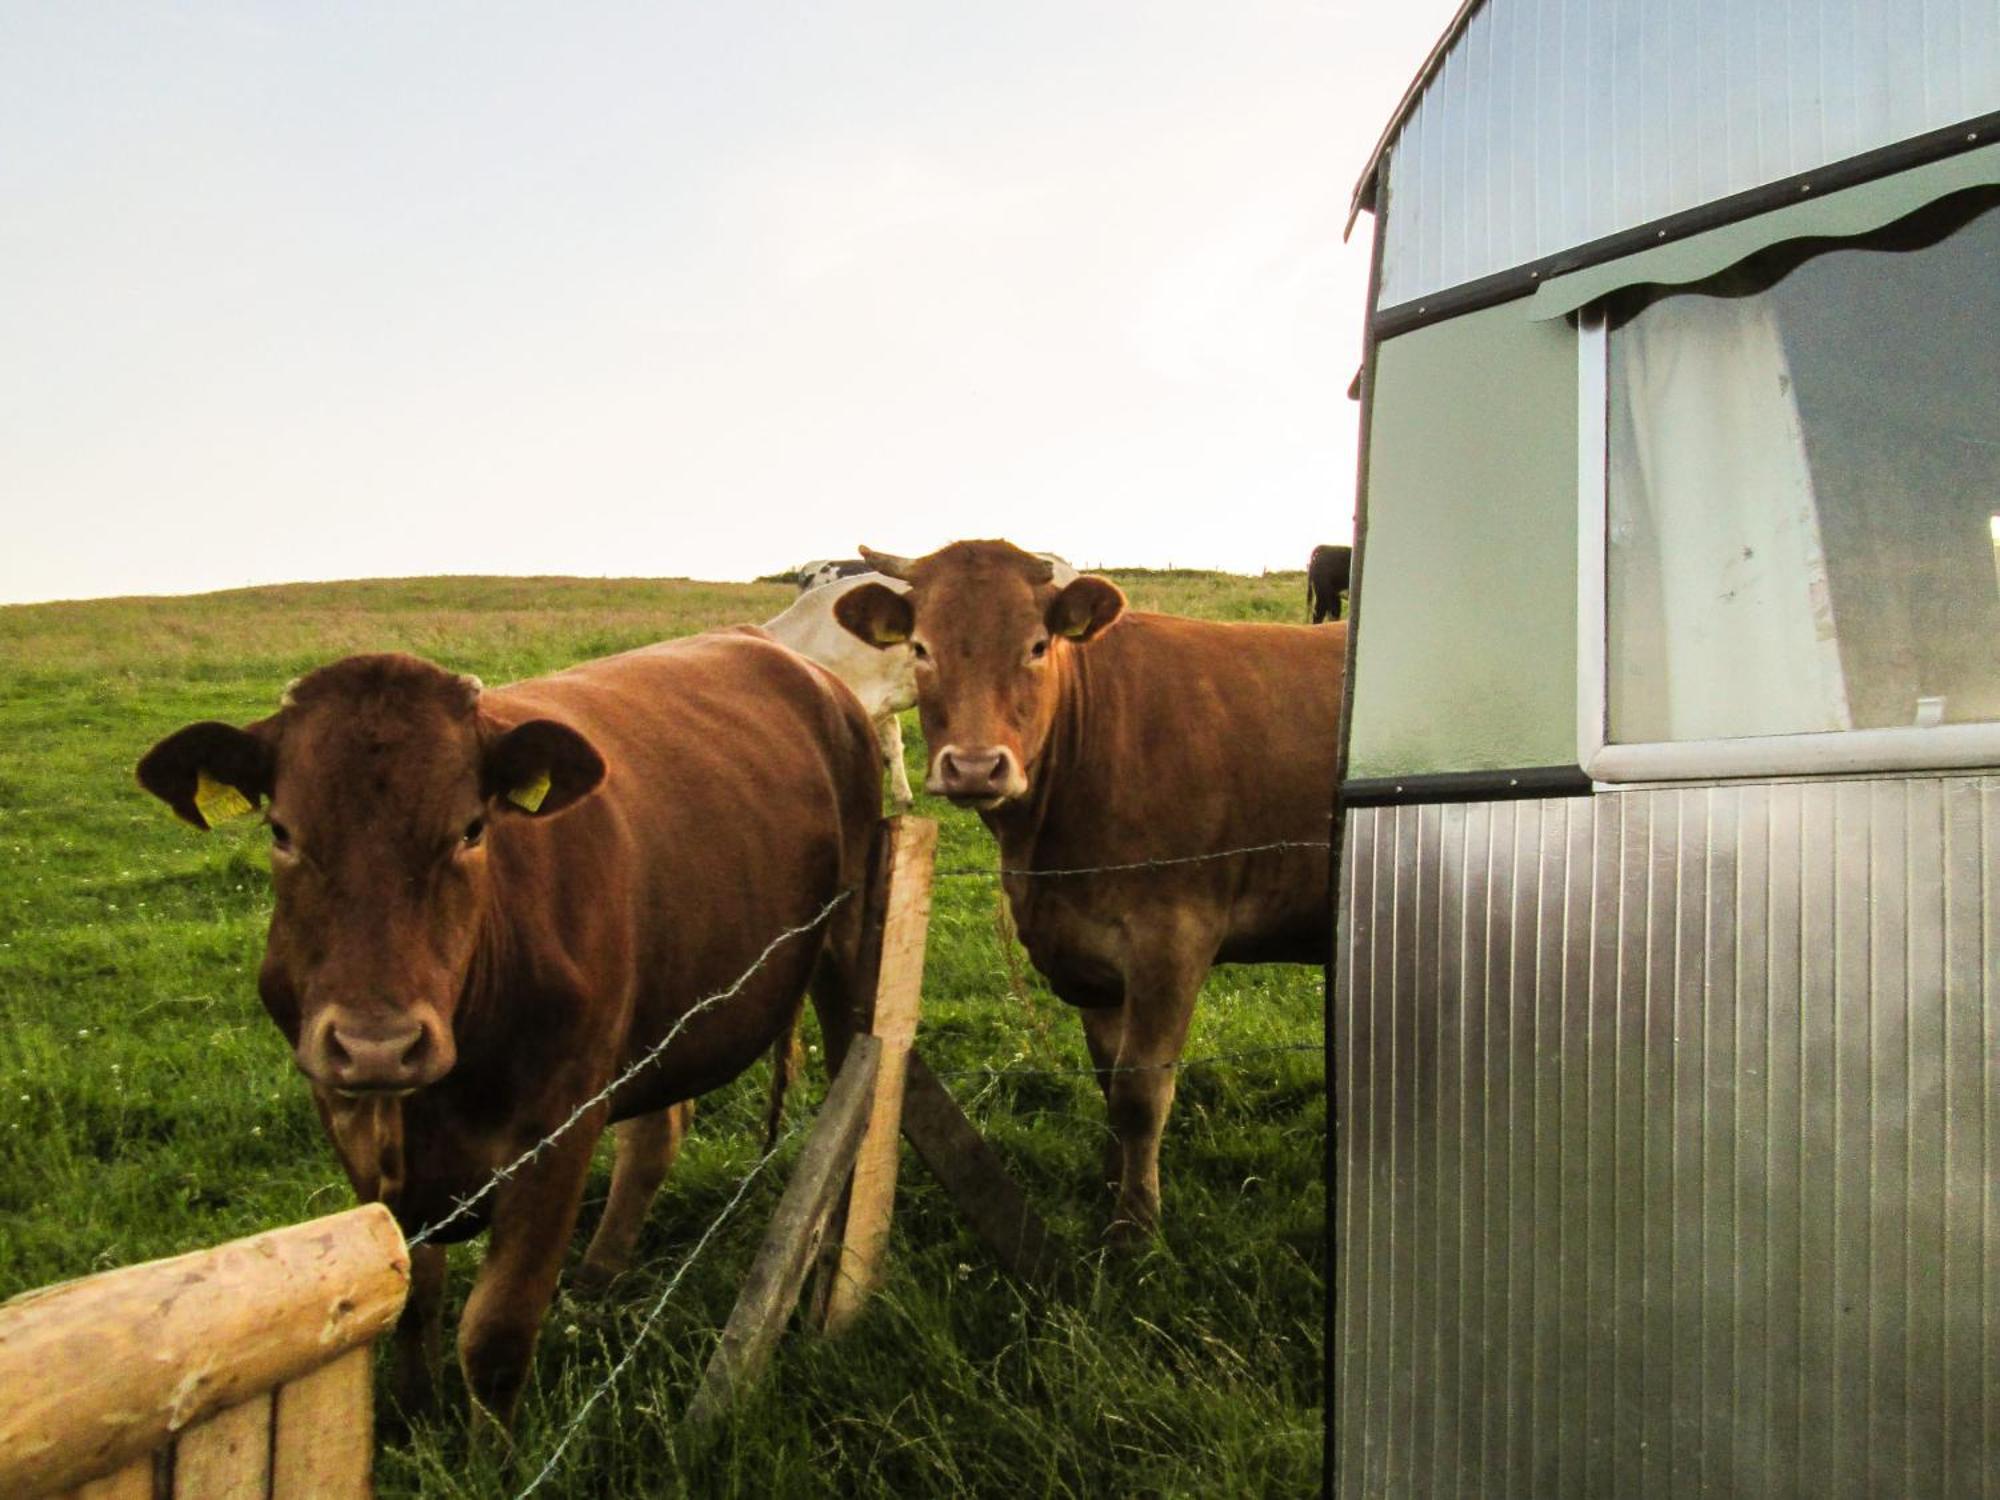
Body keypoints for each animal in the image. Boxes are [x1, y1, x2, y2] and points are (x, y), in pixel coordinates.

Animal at [137, 640, 880, 1424]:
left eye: (472, 828)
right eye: (282, 831)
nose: (378, 1045)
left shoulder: (559, 1128)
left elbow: (496, 1334)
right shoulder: (349, 1121)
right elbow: (410, 1296)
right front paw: (413, 1416)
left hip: (845, 945)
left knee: (849, 1087)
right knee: (657, 1131)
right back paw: (597, 1276)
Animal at [828, 540, 1344, 1248]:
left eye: (1038, 645)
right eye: (921, 647)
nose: (974, 767)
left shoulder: (1173, 936)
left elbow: (1140, 1090)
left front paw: (1135, 1226)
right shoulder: (1087, 953)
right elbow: (1108, 1076)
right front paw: (1110, 1187)